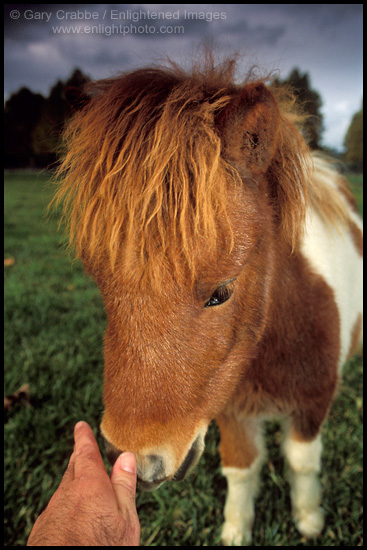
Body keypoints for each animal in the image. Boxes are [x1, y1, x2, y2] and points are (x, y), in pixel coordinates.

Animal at [56, 58, 364, 544]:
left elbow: (301, 464)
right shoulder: (229, 410)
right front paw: (236, 528)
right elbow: (241, 469)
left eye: (221, 292)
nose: (136, 457)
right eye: (99, 283)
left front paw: (309, 518)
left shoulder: (313, 406)